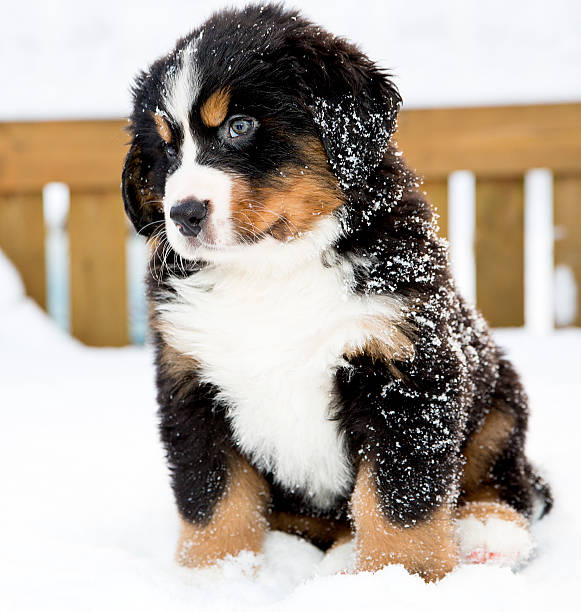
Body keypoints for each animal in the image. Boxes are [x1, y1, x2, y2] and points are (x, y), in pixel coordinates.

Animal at [121, 3, 548, 580]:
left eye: (239, 126)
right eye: (165, 148)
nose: (184, 213)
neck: (273, 269)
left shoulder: (406, 371)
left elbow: (399, 502)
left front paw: (398, 577)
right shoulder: (191, 382)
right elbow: (214, 496)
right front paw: (216, 577)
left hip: (499, 396)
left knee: (505, 479)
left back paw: (485, 534)